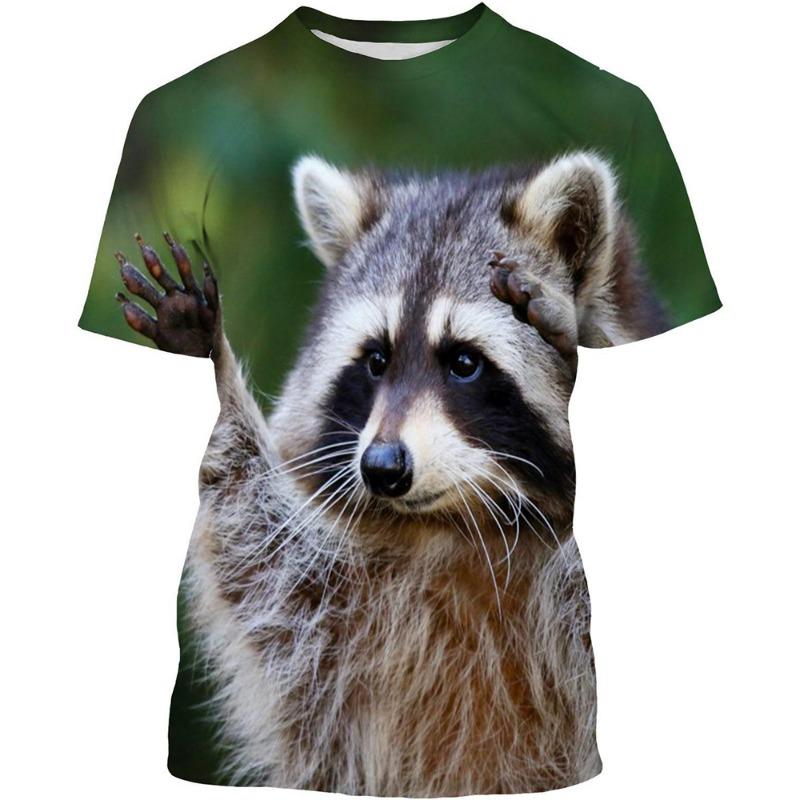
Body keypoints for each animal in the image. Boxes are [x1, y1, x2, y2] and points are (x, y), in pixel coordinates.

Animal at [115, 151, 667, 794]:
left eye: (464, 362)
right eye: (376, 360)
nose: (382, 467)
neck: (464, 523)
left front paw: (583, 337)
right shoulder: (330, 615)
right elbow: (256, 555)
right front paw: (210, 363)